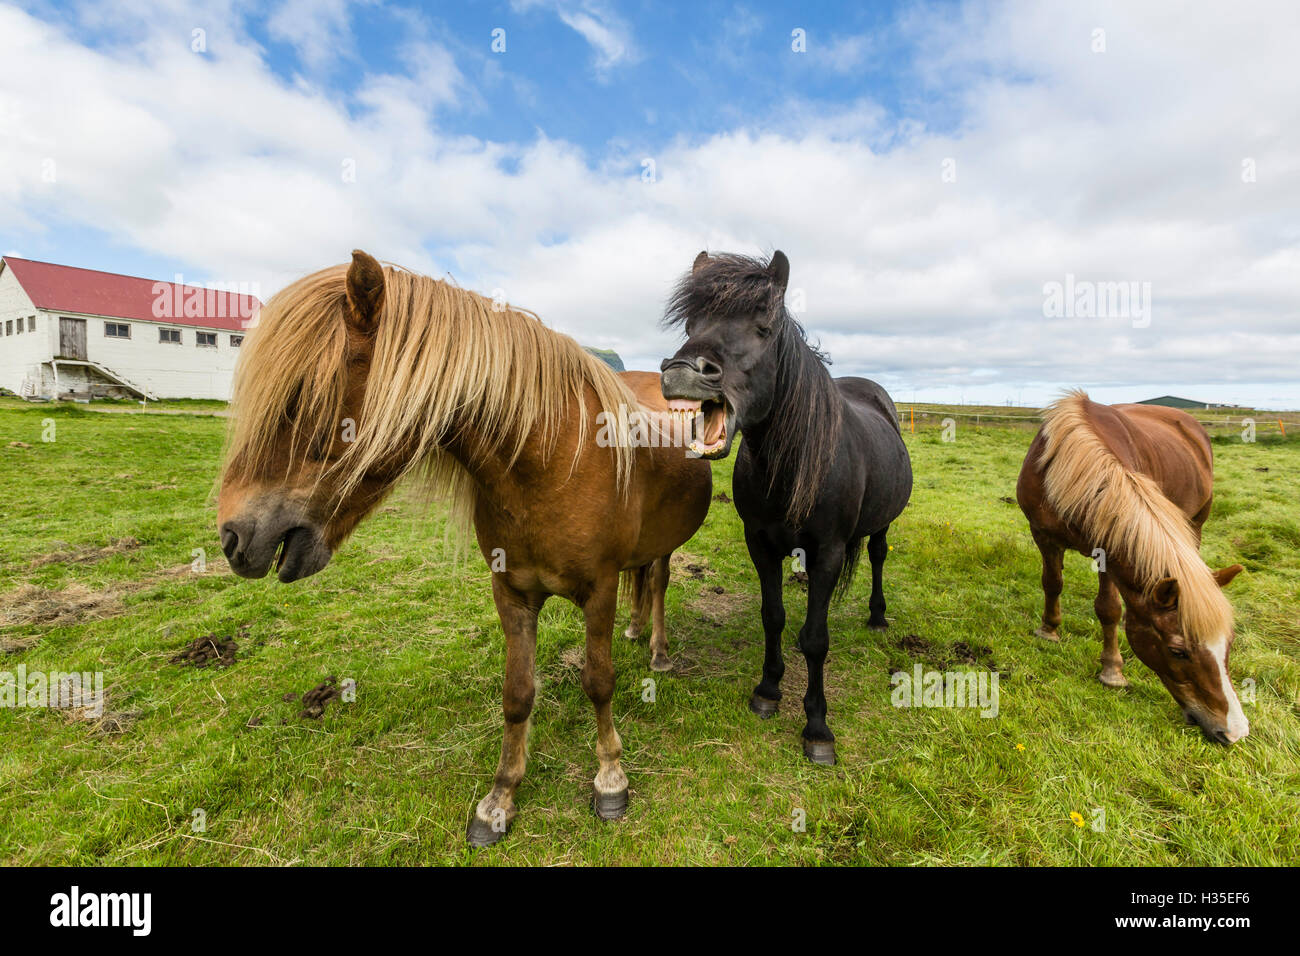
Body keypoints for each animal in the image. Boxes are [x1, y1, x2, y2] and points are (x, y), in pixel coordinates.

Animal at [220, 248, 712, 842]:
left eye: (300, 398)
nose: (231, 537)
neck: (549, 464)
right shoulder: (512, 592)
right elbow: (517, 694)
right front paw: (500, 798)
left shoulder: (599, 589)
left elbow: (599, 680)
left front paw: (610, 778)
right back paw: (637, 630)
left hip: (661, 551)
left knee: (658, 582)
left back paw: (658, 650)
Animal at [665, 251, 909, 764]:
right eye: (692, 323)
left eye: (763, 328)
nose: (681, 371)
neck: (792, 466)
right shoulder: (759, 544)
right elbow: (772, 616)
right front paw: (768, 690)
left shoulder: (829, 551)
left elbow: (816, 640)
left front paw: (817, 728)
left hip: (882, 524)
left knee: (877, 556)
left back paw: (877, 616)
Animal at [1013, 392, 1248, 743]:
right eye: (1178, 651)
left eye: (1229, 644)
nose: (1234, 731)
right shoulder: (1043, 534)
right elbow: (1052, 583)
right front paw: (1049, 630)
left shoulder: (1109, 551)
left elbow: (1109, 608)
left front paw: (1112, 669)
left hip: (1196, 523)